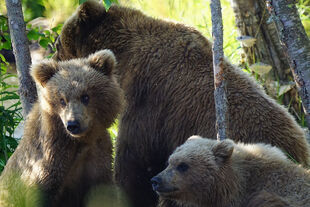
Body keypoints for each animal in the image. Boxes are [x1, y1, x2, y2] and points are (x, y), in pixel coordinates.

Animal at [0, 49, 123, 206]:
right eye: (62, 100)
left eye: (85, 96)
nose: (73, 124)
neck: (79, 142)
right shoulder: (49, 161)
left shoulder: (99, 157)